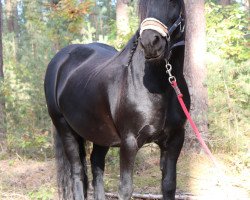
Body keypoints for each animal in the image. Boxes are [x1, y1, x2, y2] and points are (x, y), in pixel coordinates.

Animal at [44, 0, 189, 199]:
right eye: (143, 5)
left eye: (173, 3)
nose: (150, 42)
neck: (160, 87)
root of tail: (59, 60)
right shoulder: (129, 142)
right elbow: (125, 188)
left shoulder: (175, 139)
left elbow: (168, 185)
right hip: (65, 129)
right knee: (77, 172)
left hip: (99, 133)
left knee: (96, 166)